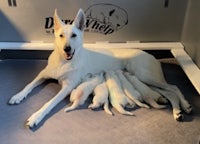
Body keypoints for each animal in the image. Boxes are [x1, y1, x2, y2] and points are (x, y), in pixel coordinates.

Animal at [8, 8, 192, 127]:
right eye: (60, 36)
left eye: (74, 35)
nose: (67, 49)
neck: (63, 61)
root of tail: (151, 55)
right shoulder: (43, 74)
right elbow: (29, 85)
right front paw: (18, 96)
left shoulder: (66, 88)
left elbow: (49, 103)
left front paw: (36, 117)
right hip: (146, 80)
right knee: (168, 92)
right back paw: (177, 111)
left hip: (145, 76)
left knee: (173, 87)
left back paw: (184, 105)